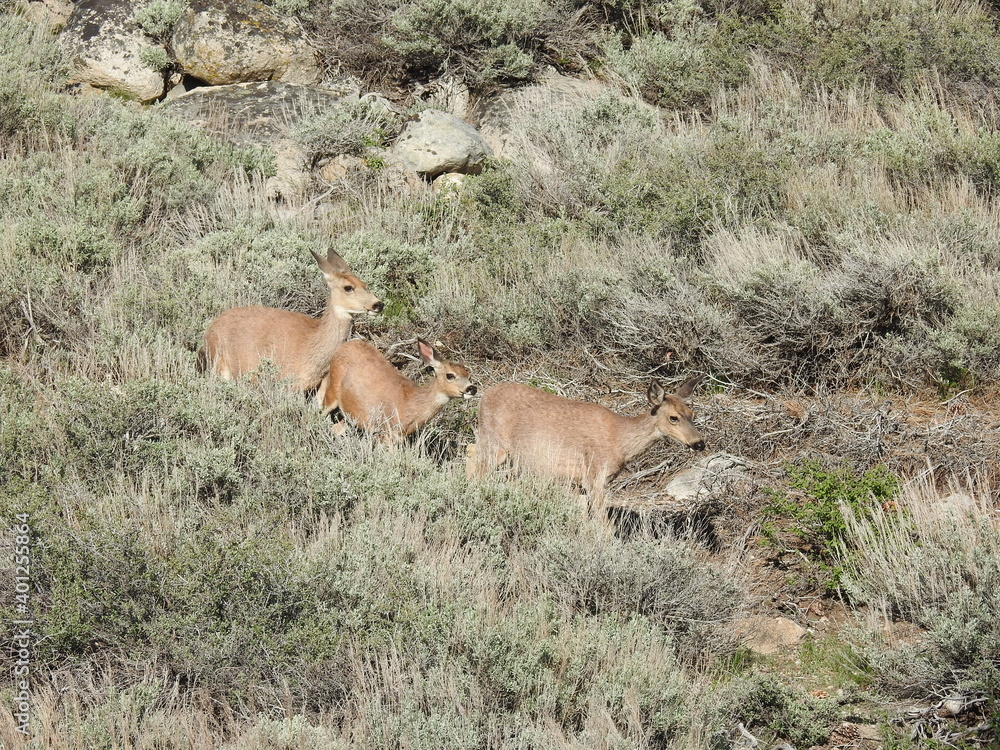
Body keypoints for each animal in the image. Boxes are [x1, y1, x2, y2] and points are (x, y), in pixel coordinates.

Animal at [317, 339, 477, 442]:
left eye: (468, 375)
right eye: (450, 375)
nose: (472, 388)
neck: (410, 403)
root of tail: (343, 345)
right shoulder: (385, 432)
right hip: (332, 390)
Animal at [466, 376, 705, 511]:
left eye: (692, 414)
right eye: (673, 417)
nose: (699, 443)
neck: (620, 442)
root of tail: (484, 396)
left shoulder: (583, 483)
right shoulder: (594, 476)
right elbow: (603, 525)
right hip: (496, 444)